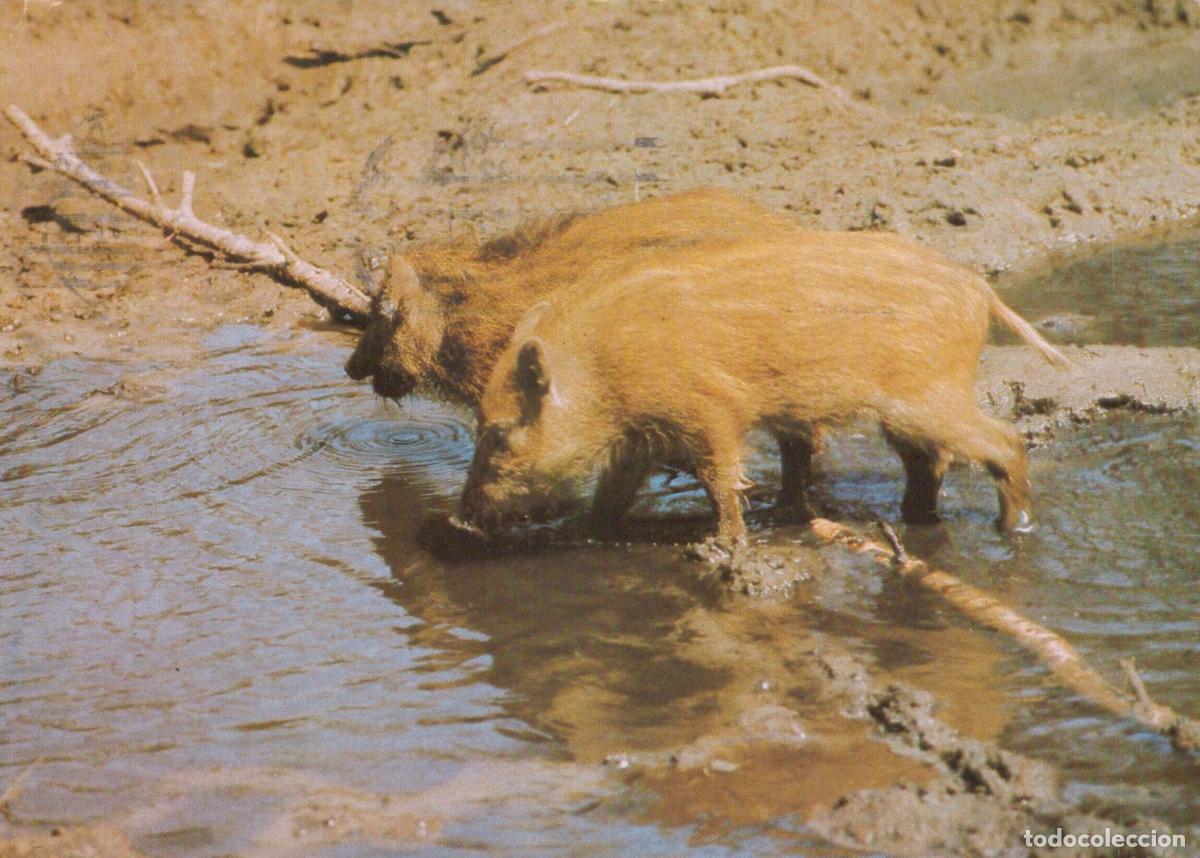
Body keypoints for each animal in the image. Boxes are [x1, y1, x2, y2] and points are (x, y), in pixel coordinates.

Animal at [457, 232, 1069, 543]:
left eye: (499, 433)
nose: (458, 519)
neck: (601, 371)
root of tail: (980, 292)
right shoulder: (643, 435)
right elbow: (614, 491)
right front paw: (588, 528)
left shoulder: (709, 411)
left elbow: (720, 479)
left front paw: (726, 544)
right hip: (907, 413)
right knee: (930, 462)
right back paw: (913, 518)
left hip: (926, 397)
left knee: (1003, 441)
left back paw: (1013, 528)